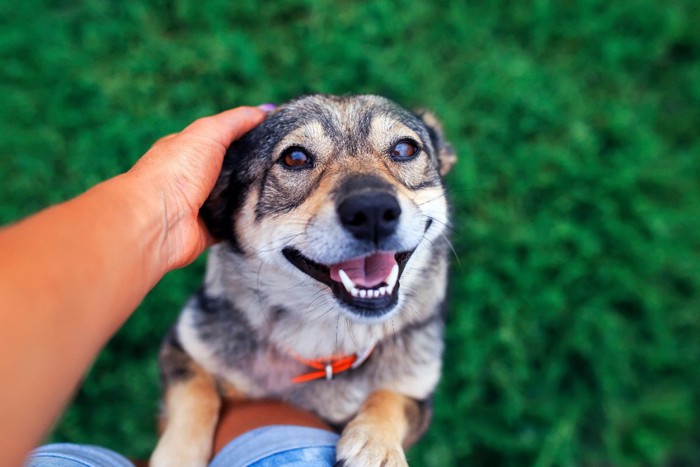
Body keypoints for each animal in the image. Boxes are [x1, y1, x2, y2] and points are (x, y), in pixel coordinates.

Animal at [150, 95, 456, 467]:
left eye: (404, 149)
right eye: (295, 158)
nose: (372, 211)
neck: (323, 333)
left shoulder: (419, 395)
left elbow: (390, 397)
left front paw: (376, 445)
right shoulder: (183, 347)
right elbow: (196, 393)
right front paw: (178, 453)